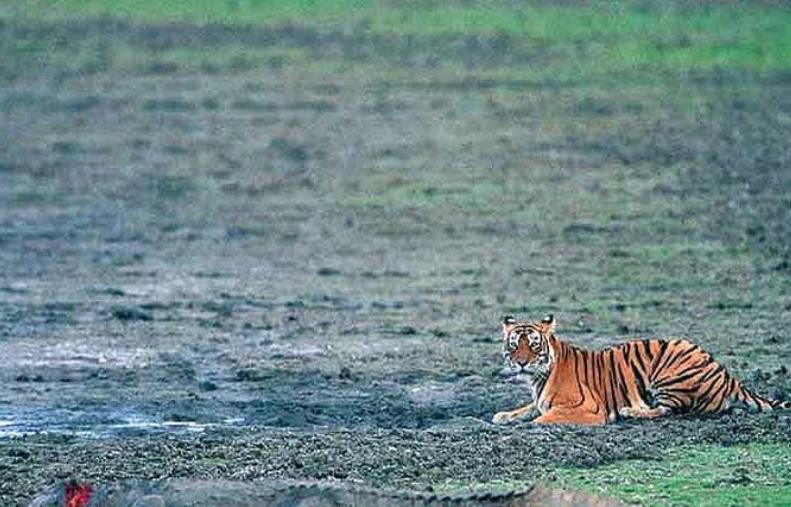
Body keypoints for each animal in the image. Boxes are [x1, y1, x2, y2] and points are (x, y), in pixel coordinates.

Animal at [492, 316, 788, 426]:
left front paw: (533, 423)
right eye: (514, 345)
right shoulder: (537, 400)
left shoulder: (589, 409)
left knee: (670, 410)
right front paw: (503, 415)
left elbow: (547, 416)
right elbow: (527, 408)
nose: (521, 363)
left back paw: (629, 411)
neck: (537, 378)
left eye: (533, 345)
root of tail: (725, 373)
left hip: (671, 372)